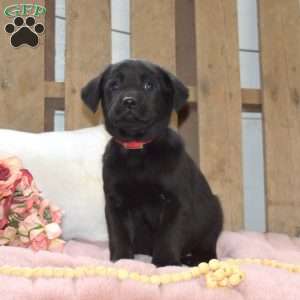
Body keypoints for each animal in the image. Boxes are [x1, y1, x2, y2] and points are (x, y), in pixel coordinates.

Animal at [81, 59, 223, 268]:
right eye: (114, 85)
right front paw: (121, 259)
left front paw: (166, 262)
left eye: (149, 85)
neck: (137, 150)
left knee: (208, 247)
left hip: (213, 216)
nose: (129, 101)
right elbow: (119, 234)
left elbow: (168, 234)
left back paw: (194, 258)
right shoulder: (116, 203)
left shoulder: (174, 202)